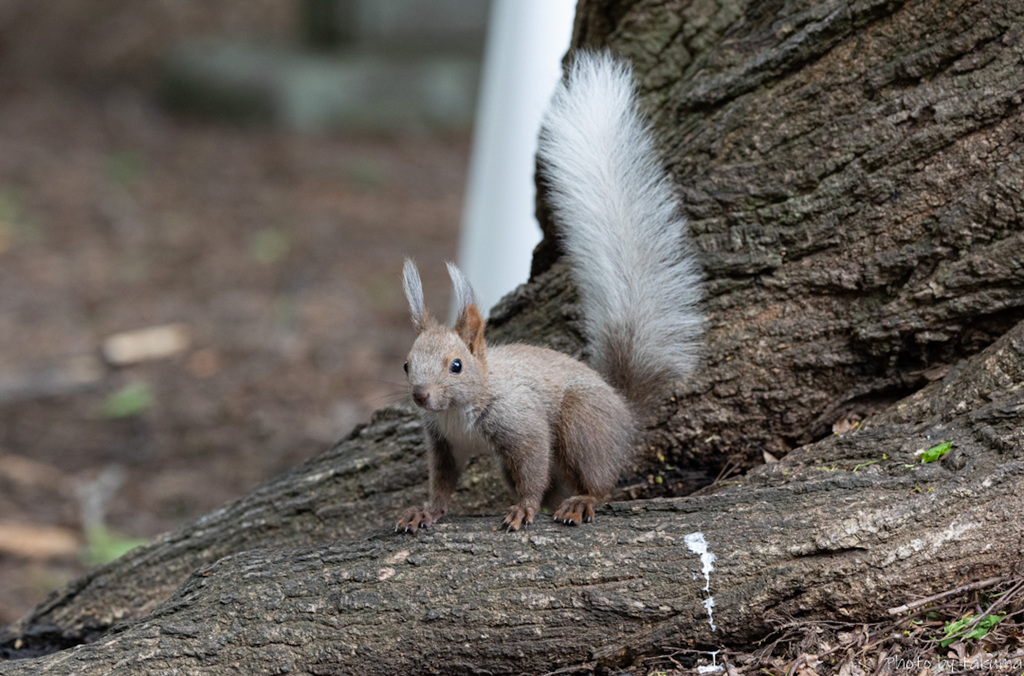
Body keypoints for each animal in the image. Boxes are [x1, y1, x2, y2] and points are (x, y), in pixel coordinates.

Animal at [393, 51, 704, 532]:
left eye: (457, 365)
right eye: (407, 364)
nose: (421, 396)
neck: (460, 411)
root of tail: (622, 408)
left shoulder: (522, 423)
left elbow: (532, 465)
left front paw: (523, 507)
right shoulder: (442, 441)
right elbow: (443, 482)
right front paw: (425, 510)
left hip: (581, 423)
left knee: (597, 480)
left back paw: (581, 501)